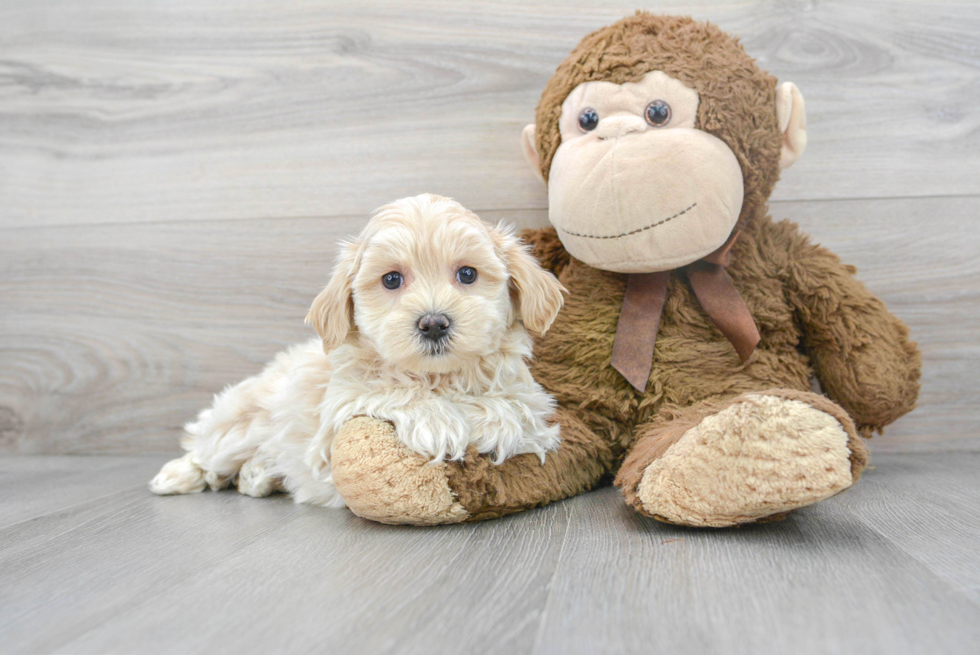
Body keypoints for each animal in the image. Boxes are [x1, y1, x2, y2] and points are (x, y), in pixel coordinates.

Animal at [152, 193, 568, 508]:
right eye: (392, 279)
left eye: (467, 274)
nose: (434, 323)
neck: (438, 376)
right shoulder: (333, 417)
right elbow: (386, 389)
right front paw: (438, 420)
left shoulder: (532, 403)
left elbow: (511, 410)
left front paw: (476, 416)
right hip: (241, 420)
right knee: (208, 450)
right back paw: (177, 475)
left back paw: (258, 475)